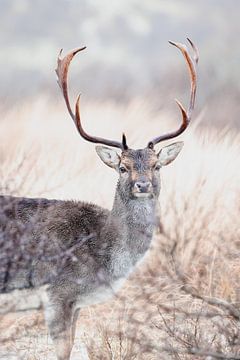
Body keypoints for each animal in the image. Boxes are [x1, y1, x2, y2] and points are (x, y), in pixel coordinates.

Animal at [0, 39, 198, 360]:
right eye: (122, 167)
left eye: (156, 165)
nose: (142, 185)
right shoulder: (58, 292)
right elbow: (64, 349)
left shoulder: (77, 303)